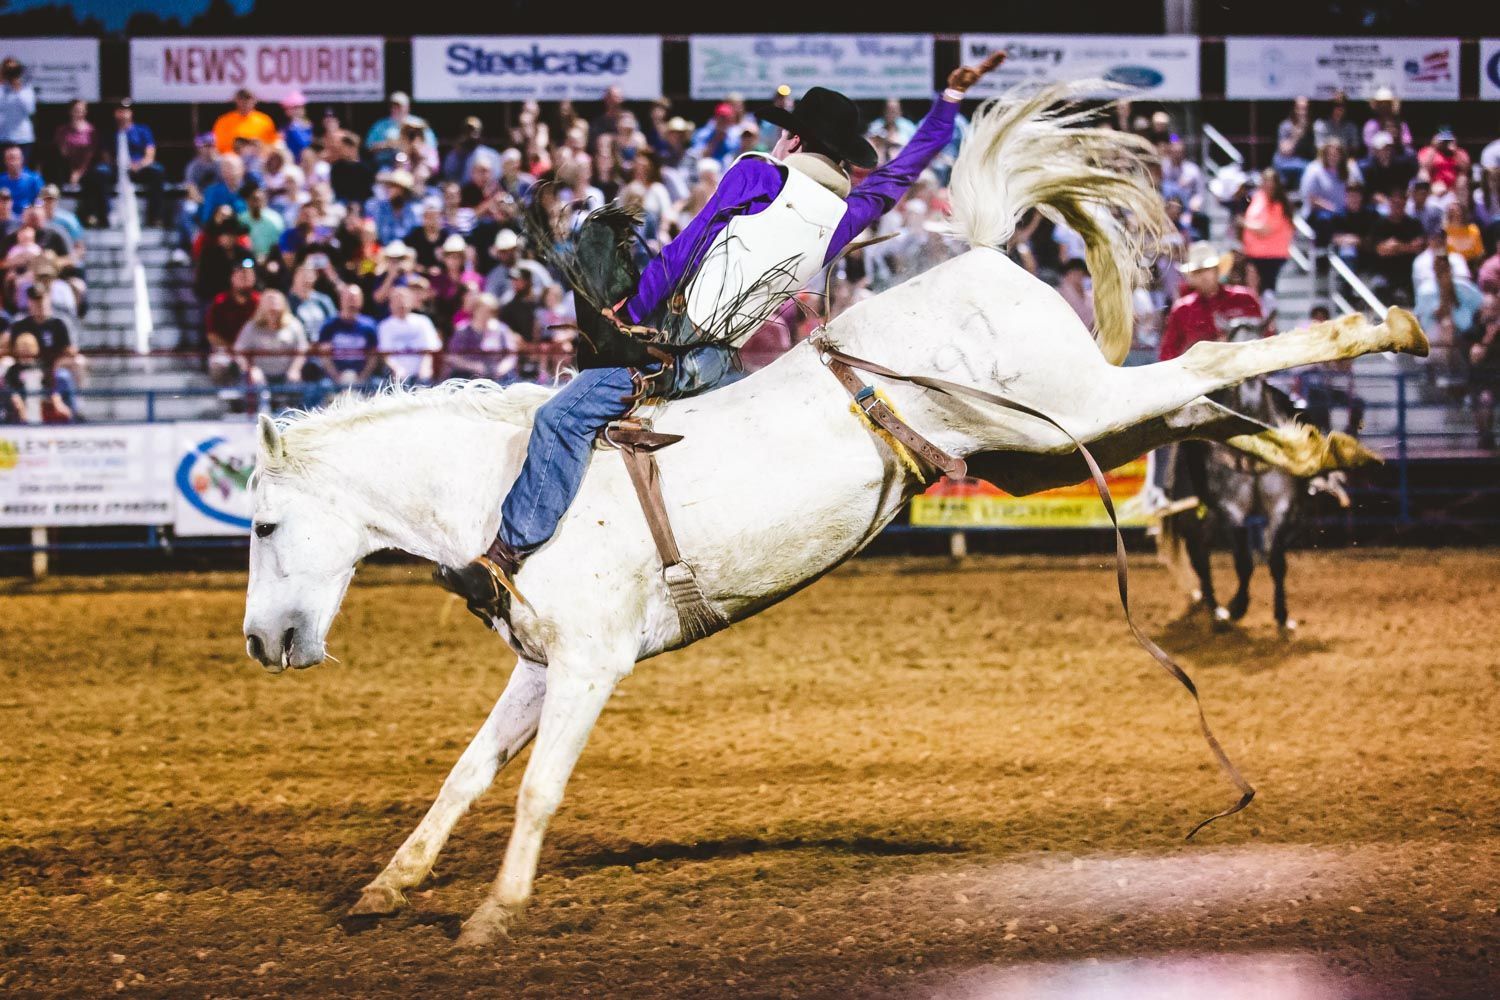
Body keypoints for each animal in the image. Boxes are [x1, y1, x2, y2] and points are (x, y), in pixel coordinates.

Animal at [240, 88, 1422, 947]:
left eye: (260, 528)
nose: (261, 643)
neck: (503, 482)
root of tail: (981, 252)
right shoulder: (542, 665)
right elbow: (468, 774)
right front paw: (389, 886)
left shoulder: (589, 665)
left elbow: (534, 788)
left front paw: (494, 913)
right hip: (1049, 442)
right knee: (1203, 405)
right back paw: (1322, 447)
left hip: (1077, 406)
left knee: (1214, 361)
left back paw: (1387, 332)